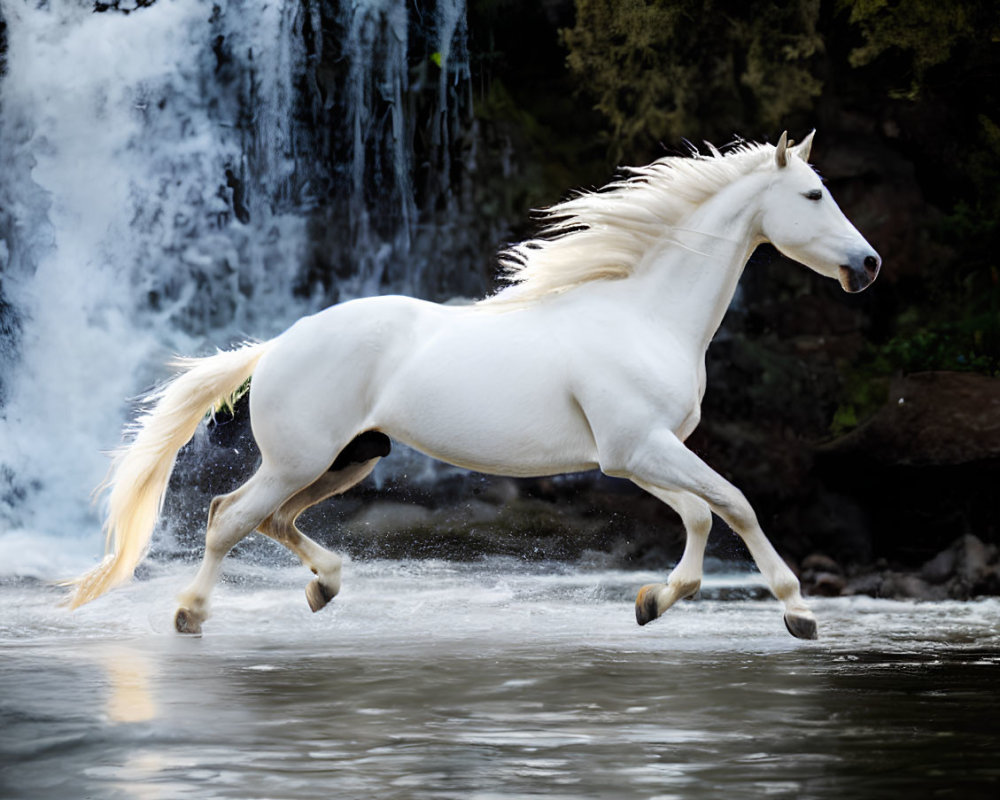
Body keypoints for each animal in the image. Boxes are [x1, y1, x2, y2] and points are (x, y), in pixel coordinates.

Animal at [66, 131, 880, 636]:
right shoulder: (641, 450)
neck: (645, 316)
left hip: (345, 460)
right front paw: (799, 613)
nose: (867, 265)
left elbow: (702, 516)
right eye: (813, 195)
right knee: (229, 517)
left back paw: (325, 584)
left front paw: (655, 600)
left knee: (263, 518)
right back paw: (192, 614)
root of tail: (278, 343)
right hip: (302, 459)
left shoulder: (635, 455)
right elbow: (736, 505)